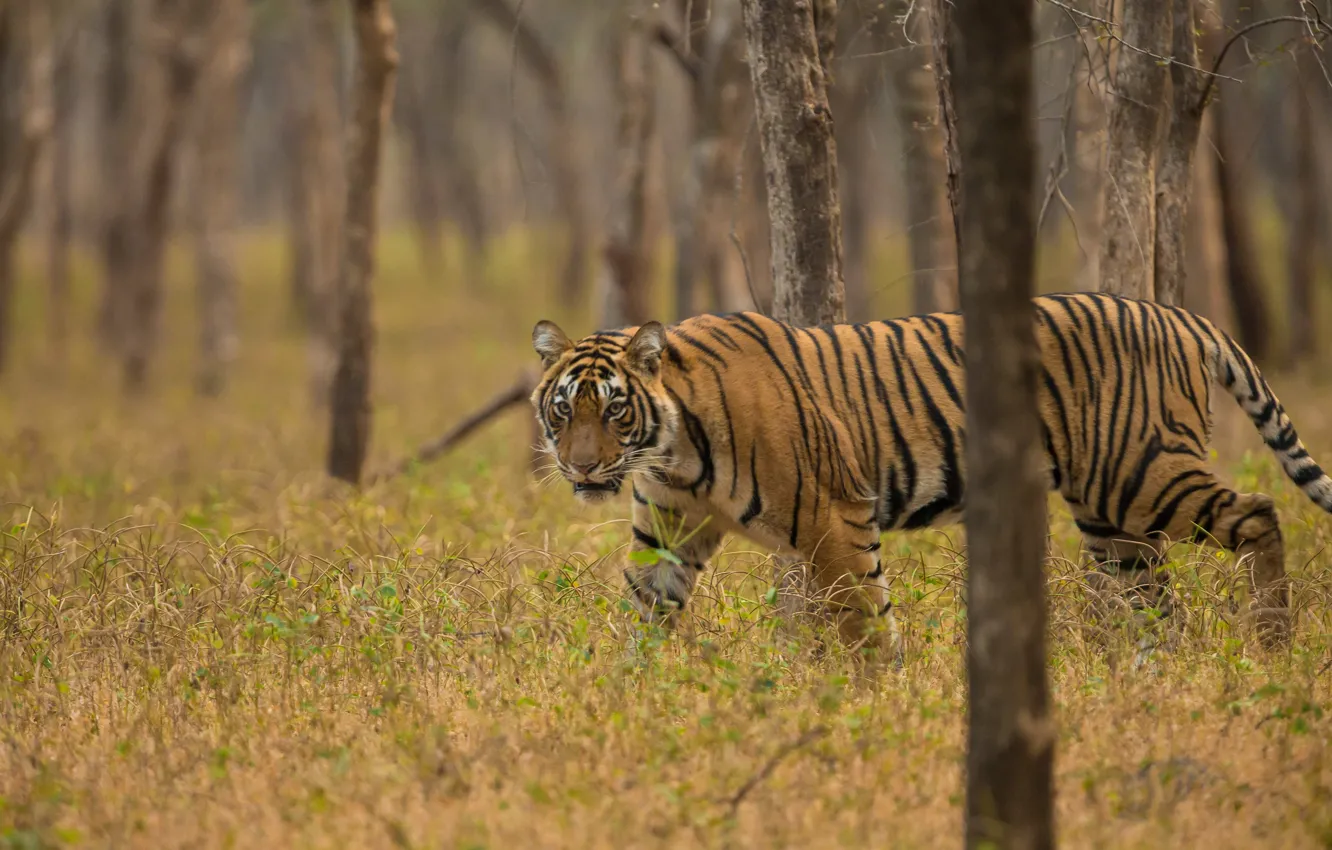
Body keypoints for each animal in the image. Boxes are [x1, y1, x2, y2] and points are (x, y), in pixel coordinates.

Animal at [530, 293, 1332, 656]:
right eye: (564, 410)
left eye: (615, 411)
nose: (582, 467)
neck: (673, 447)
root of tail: (1178, 314)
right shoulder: (668, 531)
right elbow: (646, 612)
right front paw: (636, 694)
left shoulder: (835, 514)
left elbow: (864, 619)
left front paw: (877, 702)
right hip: (1113, 519)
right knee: (1154, 601)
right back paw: (1151, 671)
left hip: (1142, 476)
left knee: (1260, 513)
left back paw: (1273, 641)